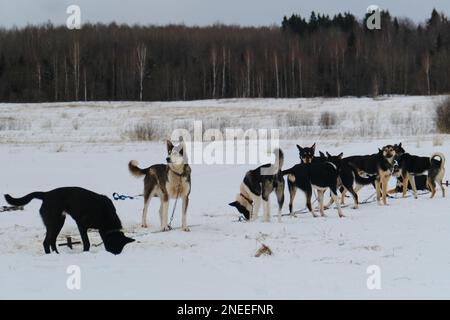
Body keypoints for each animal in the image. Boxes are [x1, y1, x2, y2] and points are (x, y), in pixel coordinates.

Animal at [4, 186, 134, 254]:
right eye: (113, 246)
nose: (114, 255)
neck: (105, 213)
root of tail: (46, 194)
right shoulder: (81, 224)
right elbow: (86, 242)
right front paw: (85, 252)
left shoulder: (100, 229)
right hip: (54, 222)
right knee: (46, 242)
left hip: (59, 222)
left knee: (52, 241)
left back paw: (57, 254)